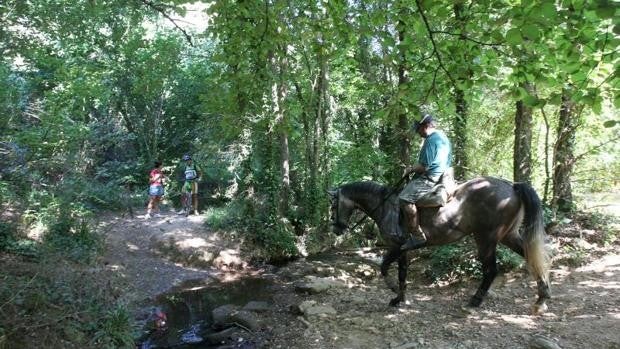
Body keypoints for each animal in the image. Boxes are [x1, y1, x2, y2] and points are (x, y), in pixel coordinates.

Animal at [326, 177, 548, 312]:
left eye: (333, 204)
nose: (336, 229)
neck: (385, 206)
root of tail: (512, 186)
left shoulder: (395, 246)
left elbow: (384, 267)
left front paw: (392, 290)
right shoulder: (403, 250)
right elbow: (402, 273)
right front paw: (399, 298)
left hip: (485, 239)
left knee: (491, 270)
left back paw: (475, 300)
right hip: (508, 236)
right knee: (530, 257)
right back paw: (542, 297)